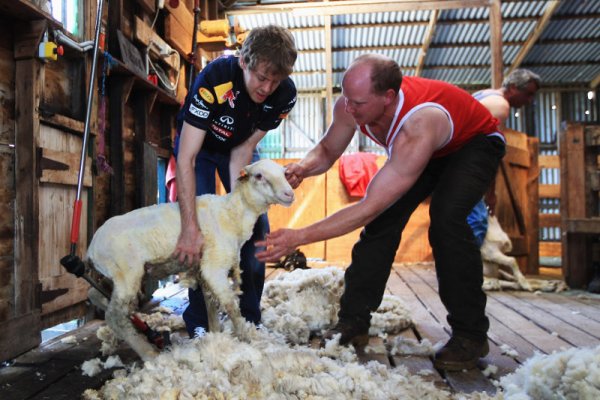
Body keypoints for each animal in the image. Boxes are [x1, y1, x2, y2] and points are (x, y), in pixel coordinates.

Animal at [83, 159, 294, 360]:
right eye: (259, 176)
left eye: (284, 173)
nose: (289, 194)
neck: (232, 214)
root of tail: (92, 247)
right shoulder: (214, 267)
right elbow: (231, 306)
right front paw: (246, 338)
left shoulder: (203, 271)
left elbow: (211, 304)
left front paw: (215, 336)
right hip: (126, 272)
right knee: (114, 316)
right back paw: (148, 352)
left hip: (113, 275)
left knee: (95, 294)